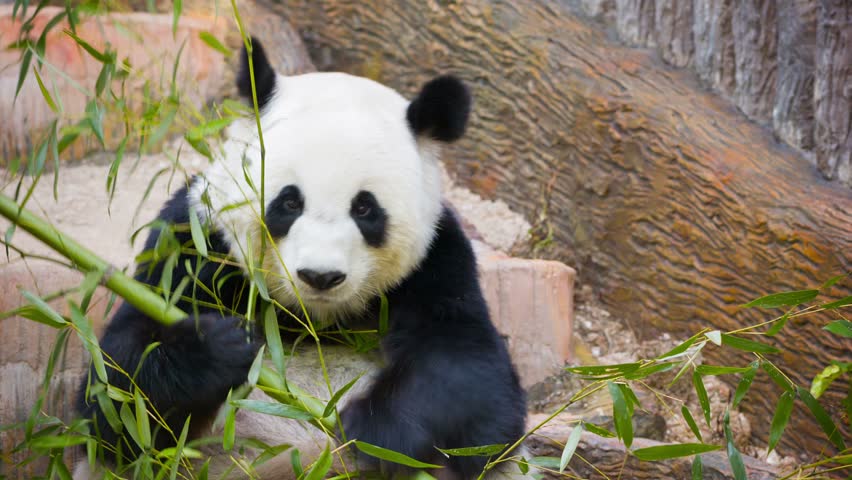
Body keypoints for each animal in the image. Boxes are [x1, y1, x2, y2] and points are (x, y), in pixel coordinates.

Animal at [78, 38, 532, 480]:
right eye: (289, 202)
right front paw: (221, 346)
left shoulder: (437, 259)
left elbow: (471, 373)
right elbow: (117, 395)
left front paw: (376, 430)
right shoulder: (194, 242)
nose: (320, 276)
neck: (311, 320)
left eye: (365, 209)